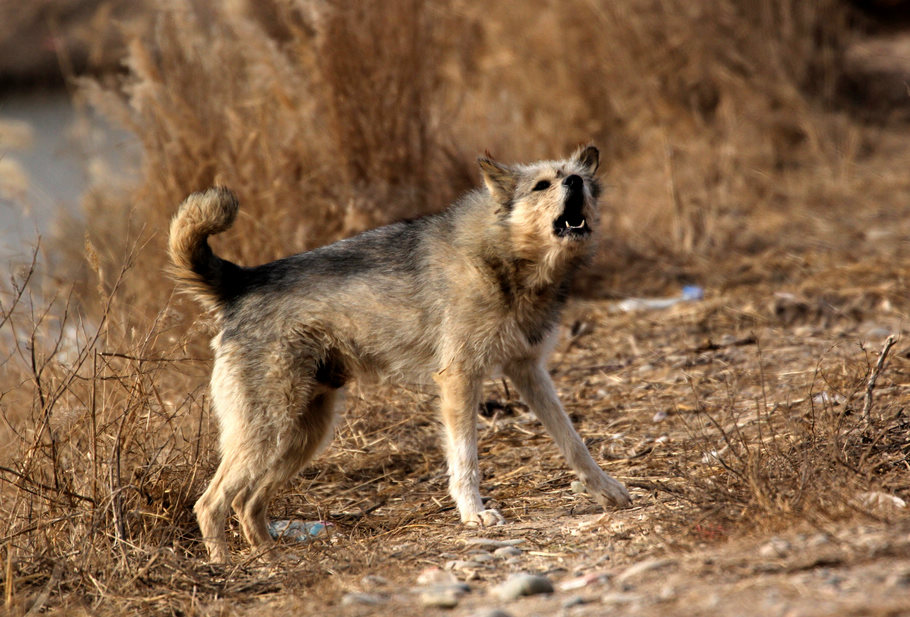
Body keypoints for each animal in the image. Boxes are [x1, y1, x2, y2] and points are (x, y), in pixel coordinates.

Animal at [167, 146, 636, 564]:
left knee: (246, 504)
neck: (504, 258)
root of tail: (241, 281)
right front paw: (474, 514)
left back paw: (271, 558)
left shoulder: (530, 372)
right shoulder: (459, 379)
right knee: (210, 503)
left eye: (577, 178)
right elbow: (465, 460)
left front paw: (607, 490)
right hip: (271, 433)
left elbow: (574, 442)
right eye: (543, 185)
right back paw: (225, 568)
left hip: (302, 437)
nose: (574, 183)